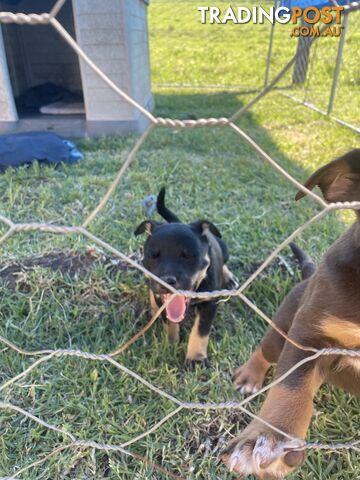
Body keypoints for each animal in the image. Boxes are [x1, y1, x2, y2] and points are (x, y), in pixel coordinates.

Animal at [134, 188, 238, 368]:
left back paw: (229, 278)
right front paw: (171, 342)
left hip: (224, 248)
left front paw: (196, 359)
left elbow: (200, 331)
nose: (167, 280)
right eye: (153, 256)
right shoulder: (164, 301)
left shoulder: (210, 303)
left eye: (188, 256)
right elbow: (169, 321)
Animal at [222, 148, 360, 478]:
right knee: (266, 350)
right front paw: (271, 438)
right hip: (284, 325)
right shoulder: (310, 335)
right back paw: (249, 376)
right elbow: (292, 386)